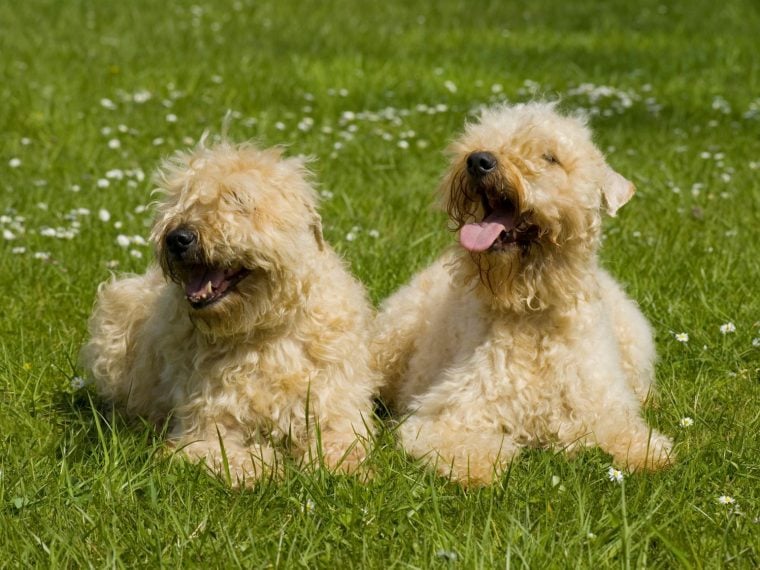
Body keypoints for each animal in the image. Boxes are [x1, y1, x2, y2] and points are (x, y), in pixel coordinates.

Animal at [80, 139, 380, 484]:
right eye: (181, 198)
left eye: (237, 200)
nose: (177, 238)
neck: (264, 330)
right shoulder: (202, 429)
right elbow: (228, 455)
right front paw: (267, 466)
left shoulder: (339, 411)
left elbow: (340, 444)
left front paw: (338, 467)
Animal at [372, 102, 672, 484]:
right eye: (481, 135)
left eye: (551, 157)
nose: (478, 160)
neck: (532, 313)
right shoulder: (445, 414)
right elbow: (463, 445)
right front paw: (481, 467)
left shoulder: (600, 403)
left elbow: (623, 431)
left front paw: (648, 454)